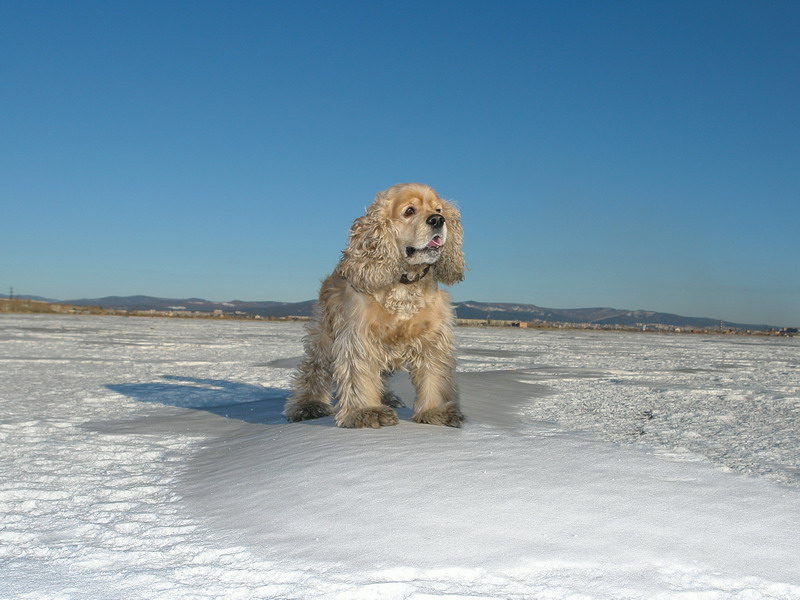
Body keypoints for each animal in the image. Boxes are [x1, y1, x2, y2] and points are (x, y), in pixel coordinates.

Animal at [284, 183, 466, 426]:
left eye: (439, 210)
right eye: (409, 211)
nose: (438, 220)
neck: (404, 283)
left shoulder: (432, 338)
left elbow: (434, 376)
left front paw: (436, 411)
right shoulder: (359, 337)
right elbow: (360, 376)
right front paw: (366, 411)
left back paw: (387, 397)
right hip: (325, 336)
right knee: (314, 369)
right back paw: (308, 405)